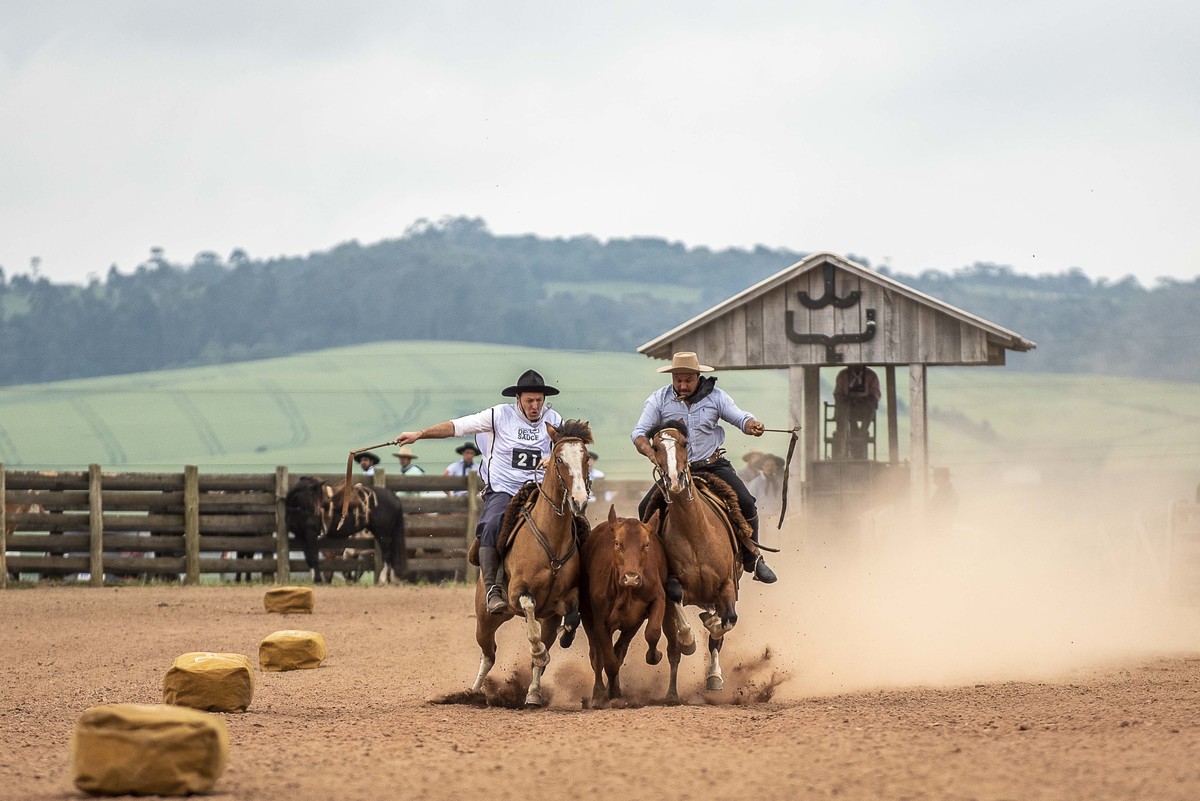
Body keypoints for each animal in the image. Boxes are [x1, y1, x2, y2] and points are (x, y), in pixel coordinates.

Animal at [470, 419, 592, 707]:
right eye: (558, 459)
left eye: (586, 458)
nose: (579, 501)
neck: (551, 538)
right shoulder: (518, 594)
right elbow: (529, 614)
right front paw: (538, 651)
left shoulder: (566, 600)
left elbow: (572, 617)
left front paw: (567, 636)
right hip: (486, 617)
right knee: (488, 654)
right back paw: (473, 691)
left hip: (542, 618)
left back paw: (533, 694)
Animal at [580, 505, 671, 707]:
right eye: (617, 543)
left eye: (646, 545)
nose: (631, 578)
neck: (626, 592)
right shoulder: (599, 620)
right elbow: (609, 662)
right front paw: (611, 693)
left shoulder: (657, 600)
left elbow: (652, 633)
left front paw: (655, 656)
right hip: (586, 615)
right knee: (597, 655)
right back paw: (599, 694)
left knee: (619, 650)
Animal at [646, 419, 750, 697]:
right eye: (656, 447)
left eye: (684, 443)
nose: (674, 480)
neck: (695, 532)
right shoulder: (673, 585)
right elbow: (676, 601)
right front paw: (689, 640)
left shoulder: (726, 586)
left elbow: (725, 625)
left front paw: (714, 674)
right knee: (673, 651)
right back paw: (671, 693)